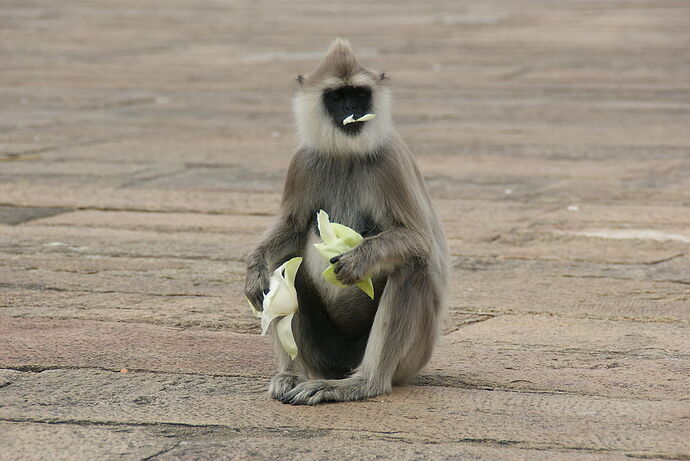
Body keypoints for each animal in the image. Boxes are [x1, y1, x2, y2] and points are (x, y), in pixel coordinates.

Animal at [245, 40, 448, 406]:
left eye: (359, 94)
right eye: (338, 96)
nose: (352, 109)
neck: (346, 154)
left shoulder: (390, 161)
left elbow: (418, 239)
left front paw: (360, 259)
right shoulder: (302, 163)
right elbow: (291, 228)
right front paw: (254, 271)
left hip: (410, 358)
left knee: (412, 265)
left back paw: (364, 384)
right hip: (324, 356)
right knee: (284, 265)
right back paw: (291, 375)